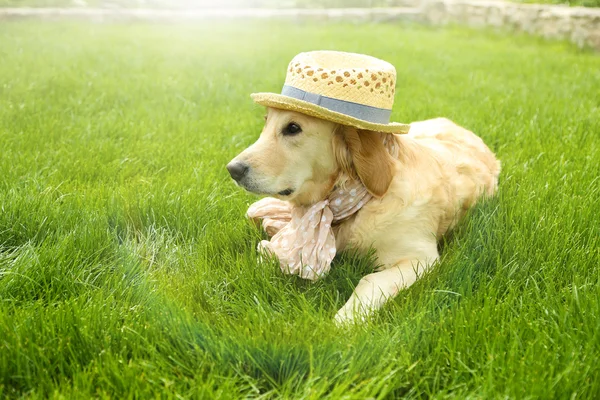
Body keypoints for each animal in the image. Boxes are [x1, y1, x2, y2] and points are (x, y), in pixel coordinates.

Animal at [227, 108, 500, 324]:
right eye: (266, 123)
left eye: (293, 128)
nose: (232, 169)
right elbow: (266, 254)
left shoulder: (420, 258)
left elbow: (370, 280)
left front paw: (345, 320)